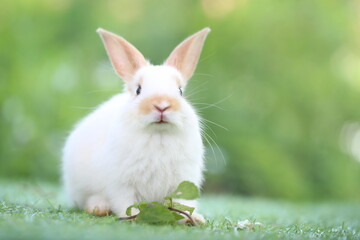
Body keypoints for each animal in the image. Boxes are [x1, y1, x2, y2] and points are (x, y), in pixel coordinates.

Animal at [62, 27, 210, 222]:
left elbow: (183, 203)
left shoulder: (183, 180)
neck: (159, 134)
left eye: (180, 91)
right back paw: (99, 208)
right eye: (138, 90)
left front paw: (194, 220)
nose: (162, 105)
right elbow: (126, 202)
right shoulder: (122, 184)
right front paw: (134, 217)